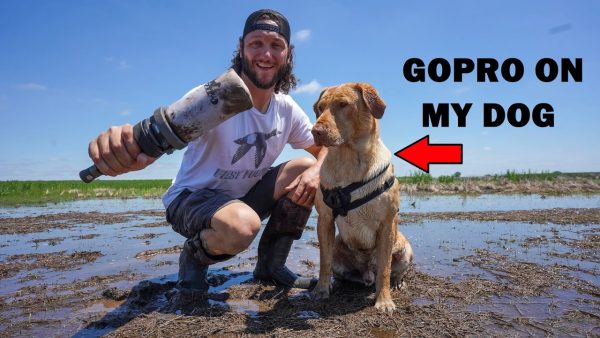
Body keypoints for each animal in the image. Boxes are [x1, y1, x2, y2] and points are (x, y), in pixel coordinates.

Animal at [310, 83, 412, 312]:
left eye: (343, 104)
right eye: (320, 108)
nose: (315, 131)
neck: (348, 160)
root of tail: (366, 272)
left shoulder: (387, 224)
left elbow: (384, 269)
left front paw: (384, 301)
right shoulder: (325, 220)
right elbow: (323, 262)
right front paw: (321, 289)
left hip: (405, 249)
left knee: (394, 272)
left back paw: (397, 283)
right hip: (338, 250)